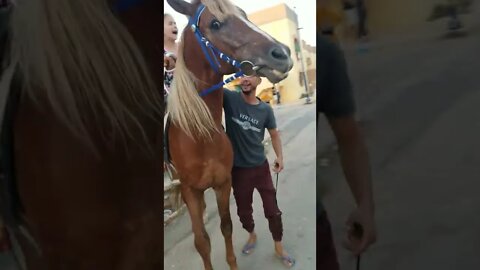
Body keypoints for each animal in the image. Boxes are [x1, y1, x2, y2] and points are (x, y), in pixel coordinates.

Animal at [165, 0, 292, 270]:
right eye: (215, 24)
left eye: (244, 14)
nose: (283, 53)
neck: (200, 134)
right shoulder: (190, 190)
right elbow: (202, 241)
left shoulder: (223, 184)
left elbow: (227, 227)